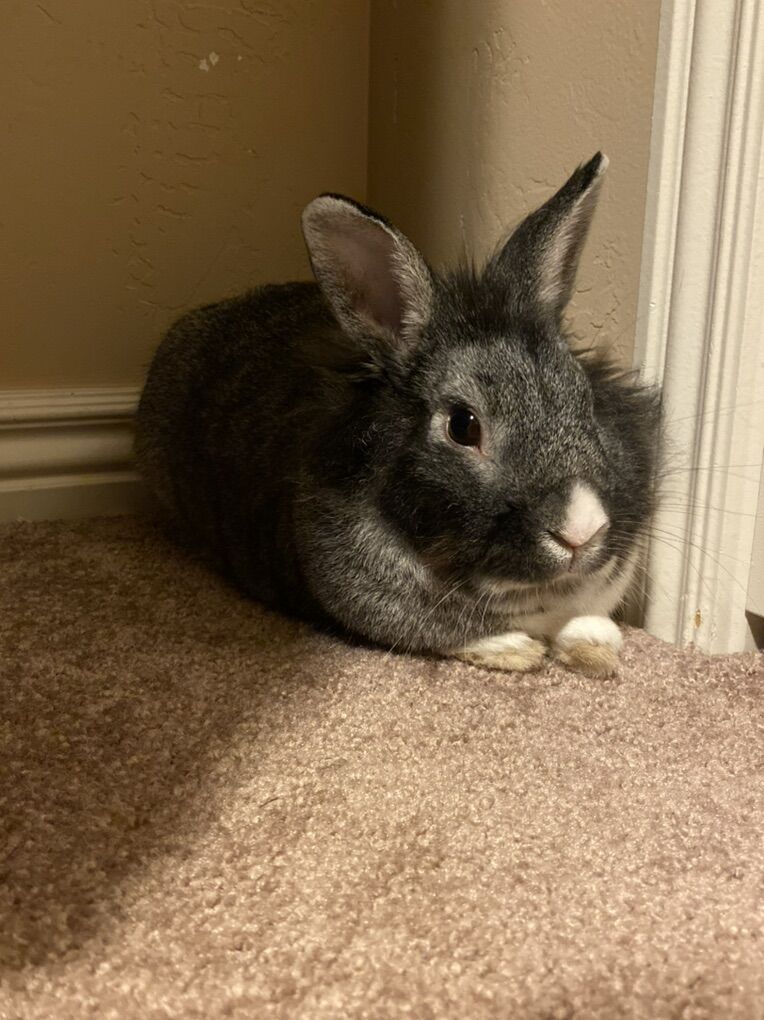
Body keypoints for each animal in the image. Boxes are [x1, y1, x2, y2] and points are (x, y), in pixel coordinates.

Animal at [135, 153, 660, 677]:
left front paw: (594, 653)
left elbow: (588, 618)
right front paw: (518, 652)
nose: (581, 532)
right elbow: (451, 634)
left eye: (584, 398)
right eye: (463, 426)